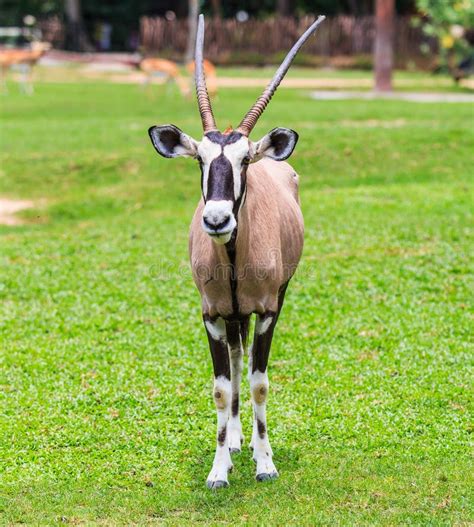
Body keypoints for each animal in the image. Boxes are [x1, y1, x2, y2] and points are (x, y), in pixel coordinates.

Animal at [149, 13, 326, 490]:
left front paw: (265, 463)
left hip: (271, 298)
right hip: (231, 316)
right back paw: (231, 440)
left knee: (245, 363)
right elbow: (222, 386)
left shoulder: (266, 310)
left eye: (245, 159)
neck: (231, 259)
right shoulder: (211, 314)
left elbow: (259, 381)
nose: (216, 220)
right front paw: (219, 467)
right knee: (234, 357)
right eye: (200, 159)